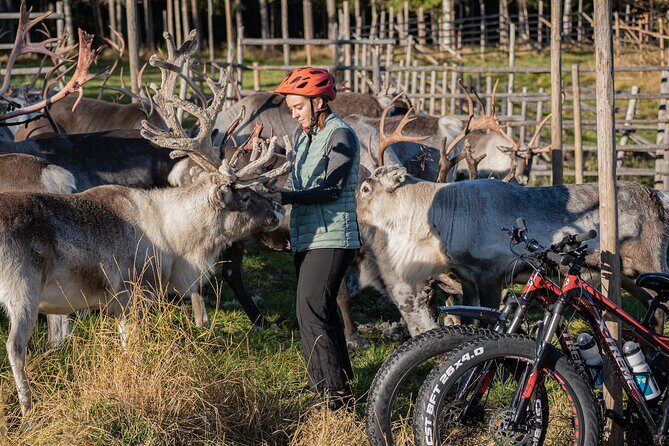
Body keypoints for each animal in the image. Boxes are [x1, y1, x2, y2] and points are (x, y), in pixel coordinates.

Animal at [0, 30, 294, 417]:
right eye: (243, 196)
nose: (278, 212)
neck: (173, 237)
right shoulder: (132, 296)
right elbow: (132, 348)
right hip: (23, 292)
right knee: (15, 347)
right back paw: (28, 409)